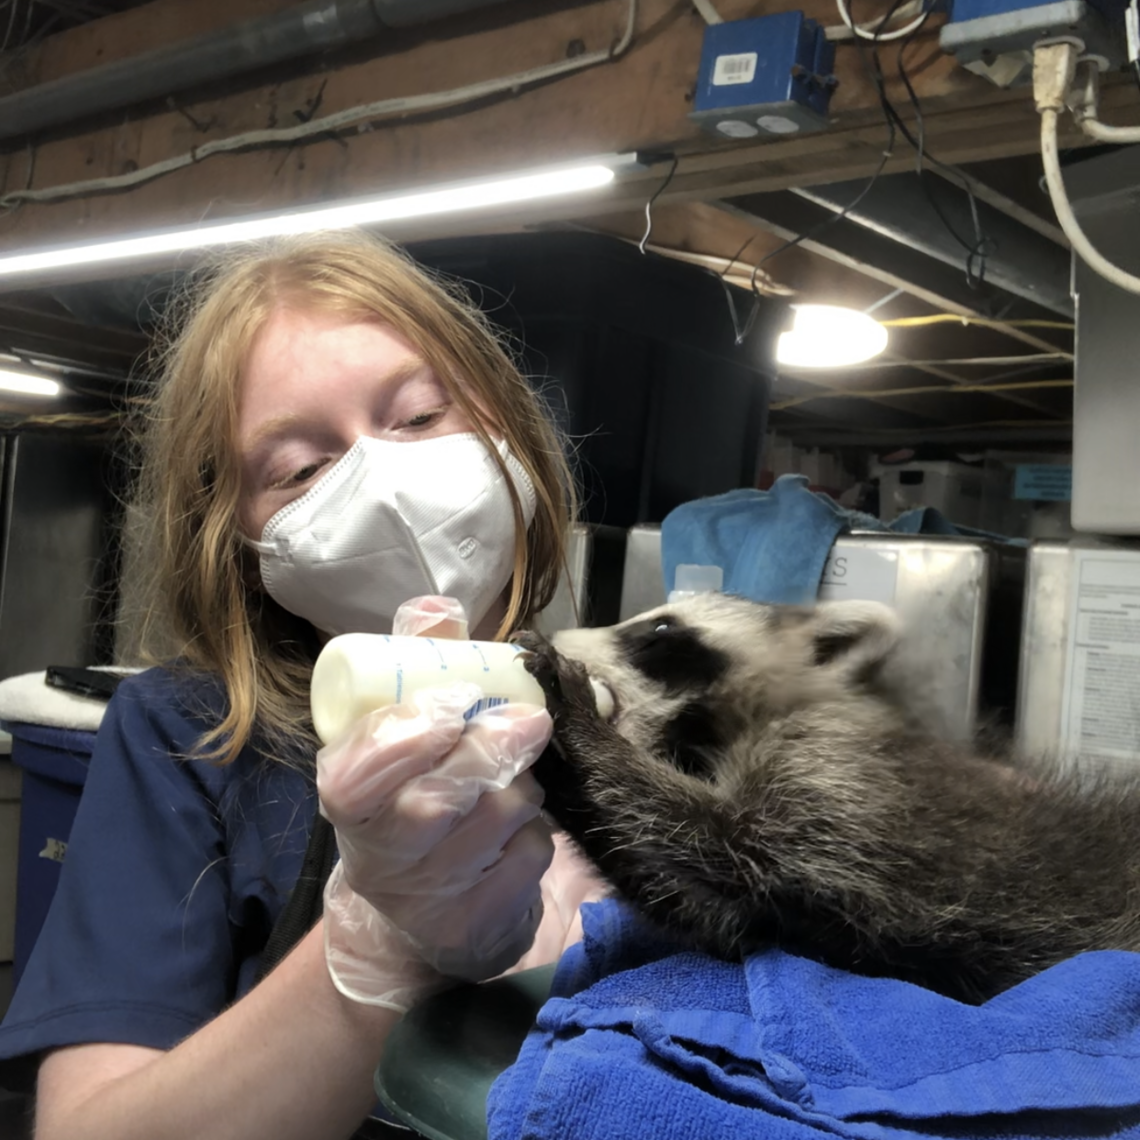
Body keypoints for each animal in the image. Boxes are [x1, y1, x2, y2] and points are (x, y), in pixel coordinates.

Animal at [517, 601, 1140, 1003]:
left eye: (662, 627)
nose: (557, 634)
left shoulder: (848, 777)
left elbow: (736, 841)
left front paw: (582, 729)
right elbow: (710, 908)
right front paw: (558, 772)